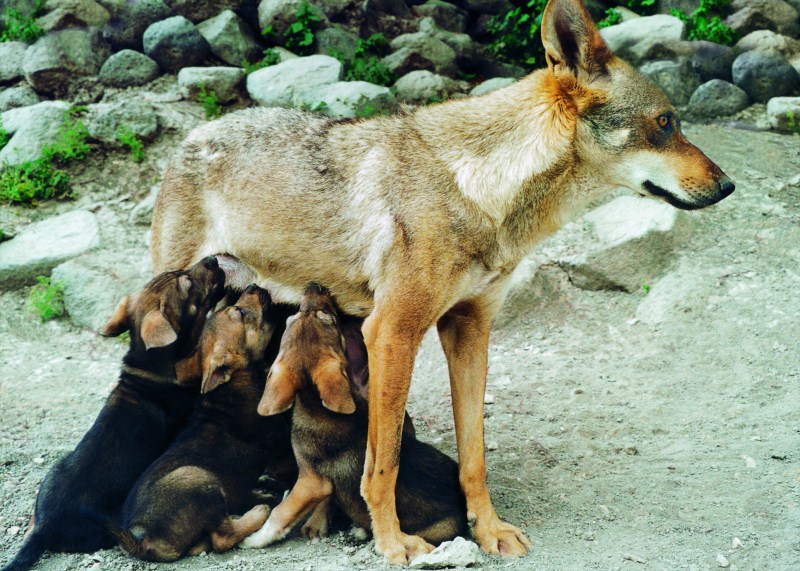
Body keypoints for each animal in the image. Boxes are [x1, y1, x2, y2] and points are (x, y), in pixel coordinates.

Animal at [242, 284, 468, 548]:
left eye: (327, 317)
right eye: (296, 316)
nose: (315, 285)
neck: (315, 402)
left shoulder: (311, 481)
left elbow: (281, 513)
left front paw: (253, 539)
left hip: (433, 531)